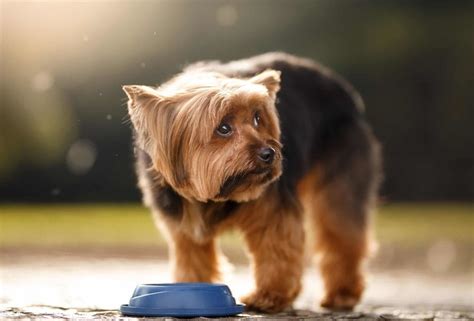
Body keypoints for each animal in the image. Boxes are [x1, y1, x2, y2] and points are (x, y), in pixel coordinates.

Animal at [123, 53, 382, 312]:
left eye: (258, 118)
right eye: (223, 128)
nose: (269, 153)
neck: (221, 193)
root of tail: (344, 90)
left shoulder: (272, 210)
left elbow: (276, 249)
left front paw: (269, 296)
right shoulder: (182, 223)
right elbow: (192, 257)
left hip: (339, 183)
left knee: (342, 235)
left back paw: (343, 295)